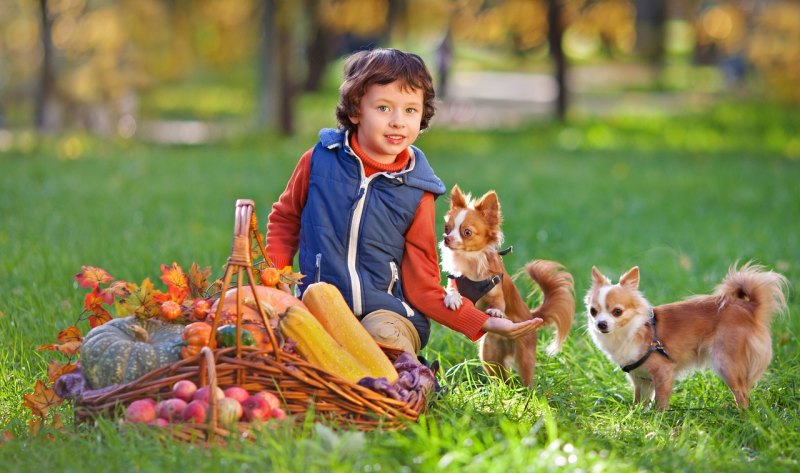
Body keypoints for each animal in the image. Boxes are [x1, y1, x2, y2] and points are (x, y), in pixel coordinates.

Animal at [438, 184, 576, 388]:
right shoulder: (454, 279)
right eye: (447, 229)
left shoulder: (496, 291)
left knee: (526, 380)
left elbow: (498, 303)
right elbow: (451, 289)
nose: (447, 239)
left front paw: (496, 312)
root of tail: (531, 315)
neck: (470, 261)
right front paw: (453, 299)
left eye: (467, 232)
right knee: (502, 378)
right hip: (489, 355)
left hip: (524, 355)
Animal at [584, 262, 792, 410]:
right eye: (593, 311)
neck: (632, 330)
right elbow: (640, 400)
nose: (600, 324)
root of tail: (748, 308)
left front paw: (657, 420)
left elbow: (660, 403)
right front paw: (636, 415)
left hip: (725, 363)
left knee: (742, 395)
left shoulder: (663, 373)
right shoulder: (641, 379)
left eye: (617, 312)